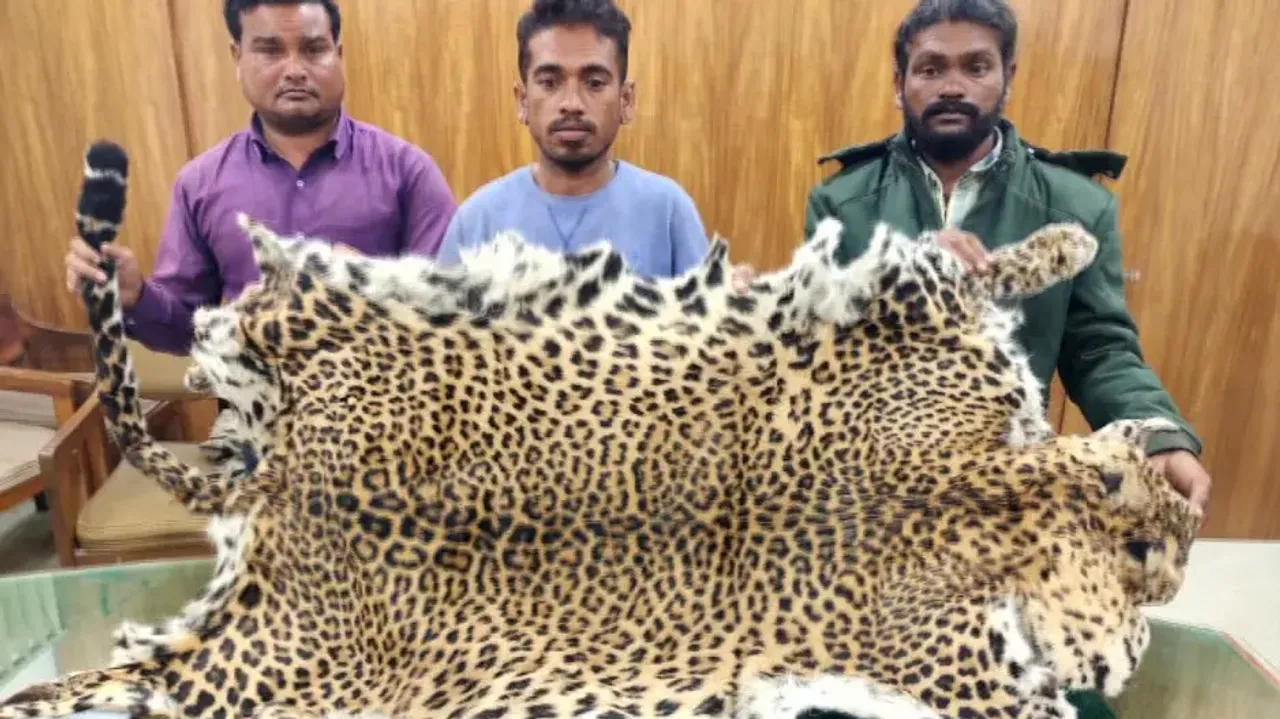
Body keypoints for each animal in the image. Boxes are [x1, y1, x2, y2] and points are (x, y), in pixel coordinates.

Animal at [0, 140, 1200, 719]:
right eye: (1156, 553)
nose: (1186, 553)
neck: (997, 496)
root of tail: (280, 468)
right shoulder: (917, 322)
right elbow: (979, 267)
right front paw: (1064, 242)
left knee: (97, 683)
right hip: (274, 670)